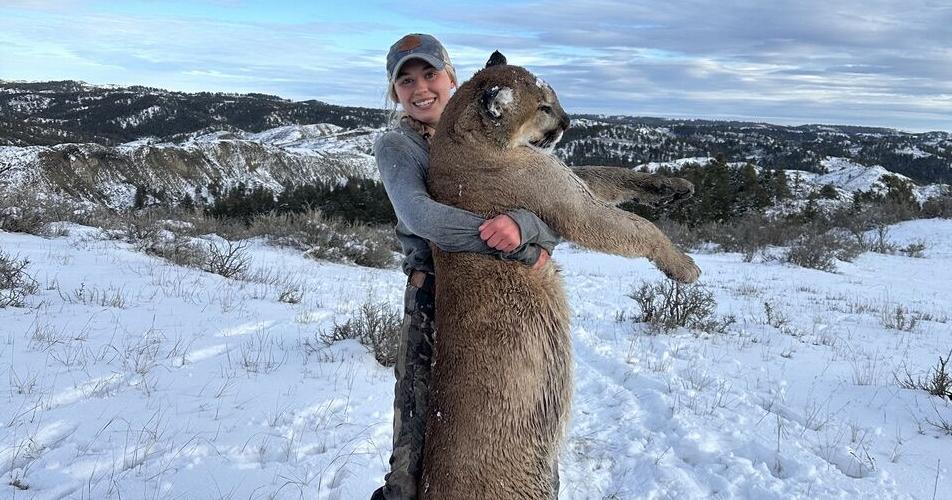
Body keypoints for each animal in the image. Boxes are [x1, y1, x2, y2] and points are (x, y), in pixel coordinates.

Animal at [420, 52, 700, 499]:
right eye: (544, 107)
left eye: (554, 98)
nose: (569, 120)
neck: (459, 141)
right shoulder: (569, 201)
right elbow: (639, 228)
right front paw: (682, 266)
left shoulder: (568, 179)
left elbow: (608, 173)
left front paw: (672, 184)